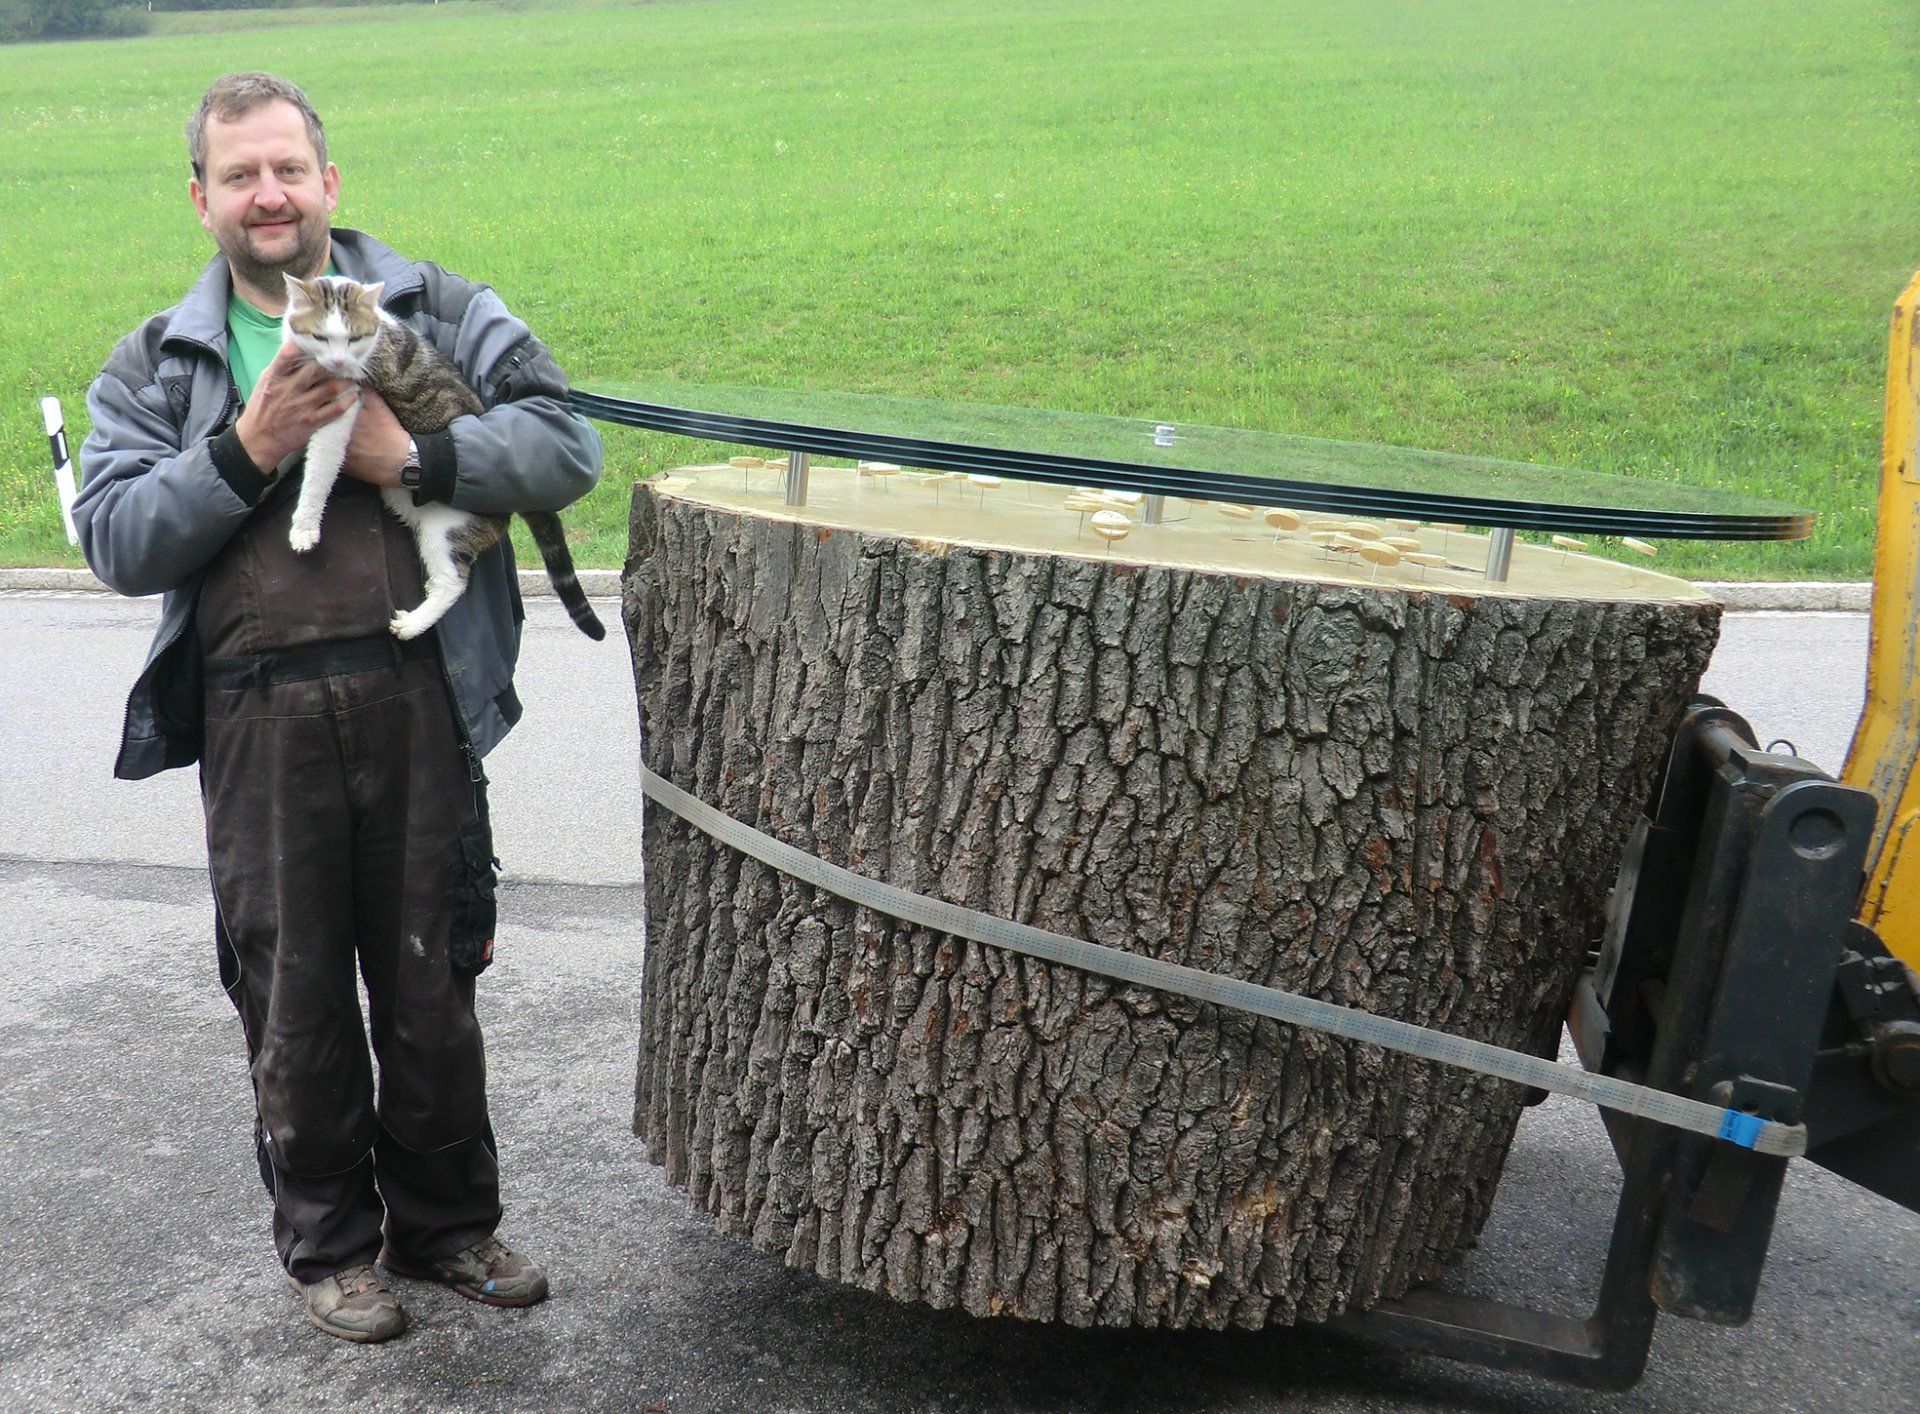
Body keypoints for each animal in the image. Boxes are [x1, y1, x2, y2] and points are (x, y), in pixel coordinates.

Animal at [280, 273, 605, 642]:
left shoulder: (344, 404)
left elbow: (319, 471)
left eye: (354, 338)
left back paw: (411, 624)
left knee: (451, 583)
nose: (337, 362)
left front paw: (304, 528)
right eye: (320, 337)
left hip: (445, 529)